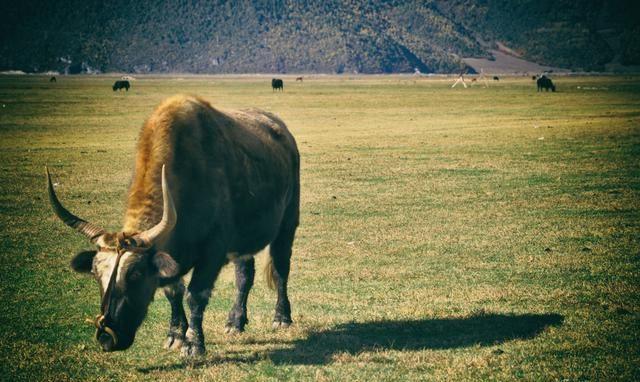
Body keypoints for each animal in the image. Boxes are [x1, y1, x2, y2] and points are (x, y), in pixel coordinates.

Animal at [47, 94, 300, 356]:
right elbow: (173, 292)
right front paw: (175, 335)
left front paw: (194, 343)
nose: (107, 337)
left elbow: (196, 295)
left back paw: (282, 318)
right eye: (96, 274)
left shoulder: (213, 250)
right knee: (244, 276)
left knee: (280, 269)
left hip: (287, 224)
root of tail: (282, 130)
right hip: (243, 242)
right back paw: (235, 322)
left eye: (135, 274)